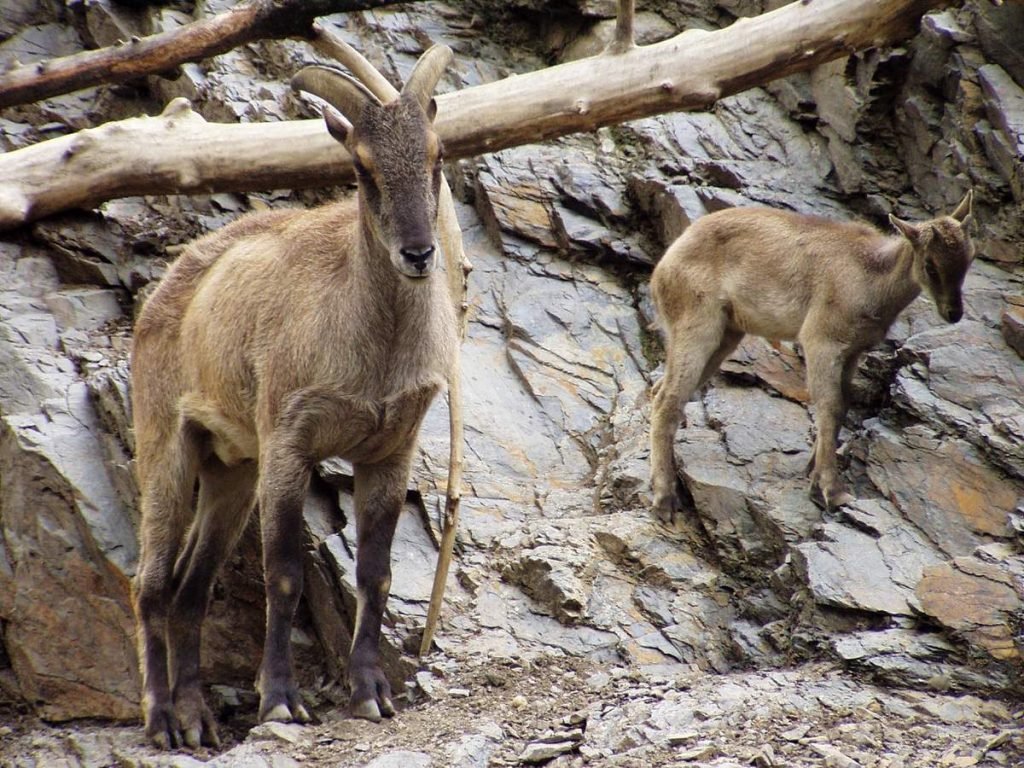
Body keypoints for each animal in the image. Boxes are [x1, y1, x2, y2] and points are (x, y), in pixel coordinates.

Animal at [130, 45, 458, 749]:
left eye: (437, 152)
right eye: (362, 168)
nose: (419, 253)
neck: (376, 345)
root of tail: (167, 287)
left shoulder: (390, 450)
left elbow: (375, 574)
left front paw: (371, 693)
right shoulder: (289, 441)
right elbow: (283, 572)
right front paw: (280, 701)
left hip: (231, 469)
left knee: (191, 588)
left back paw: (197, 719)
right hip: (168, 446)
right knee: (152, 583)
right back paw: (163, 719)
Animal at [647, 191, 974, 524]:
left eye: (968, 259)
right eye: (930, 265)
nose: (953, 313)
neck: (871, 275)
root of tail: (663, 268)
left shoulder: (852, 352)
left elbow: (842, 407)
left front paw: (814, 474)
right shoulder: (822, 340)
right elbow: (830, 406)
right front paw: (832, 490)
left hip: (727, 334)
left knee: (661, 390)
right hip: (698, 325)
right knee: (667, 399)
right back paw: (664, 498)